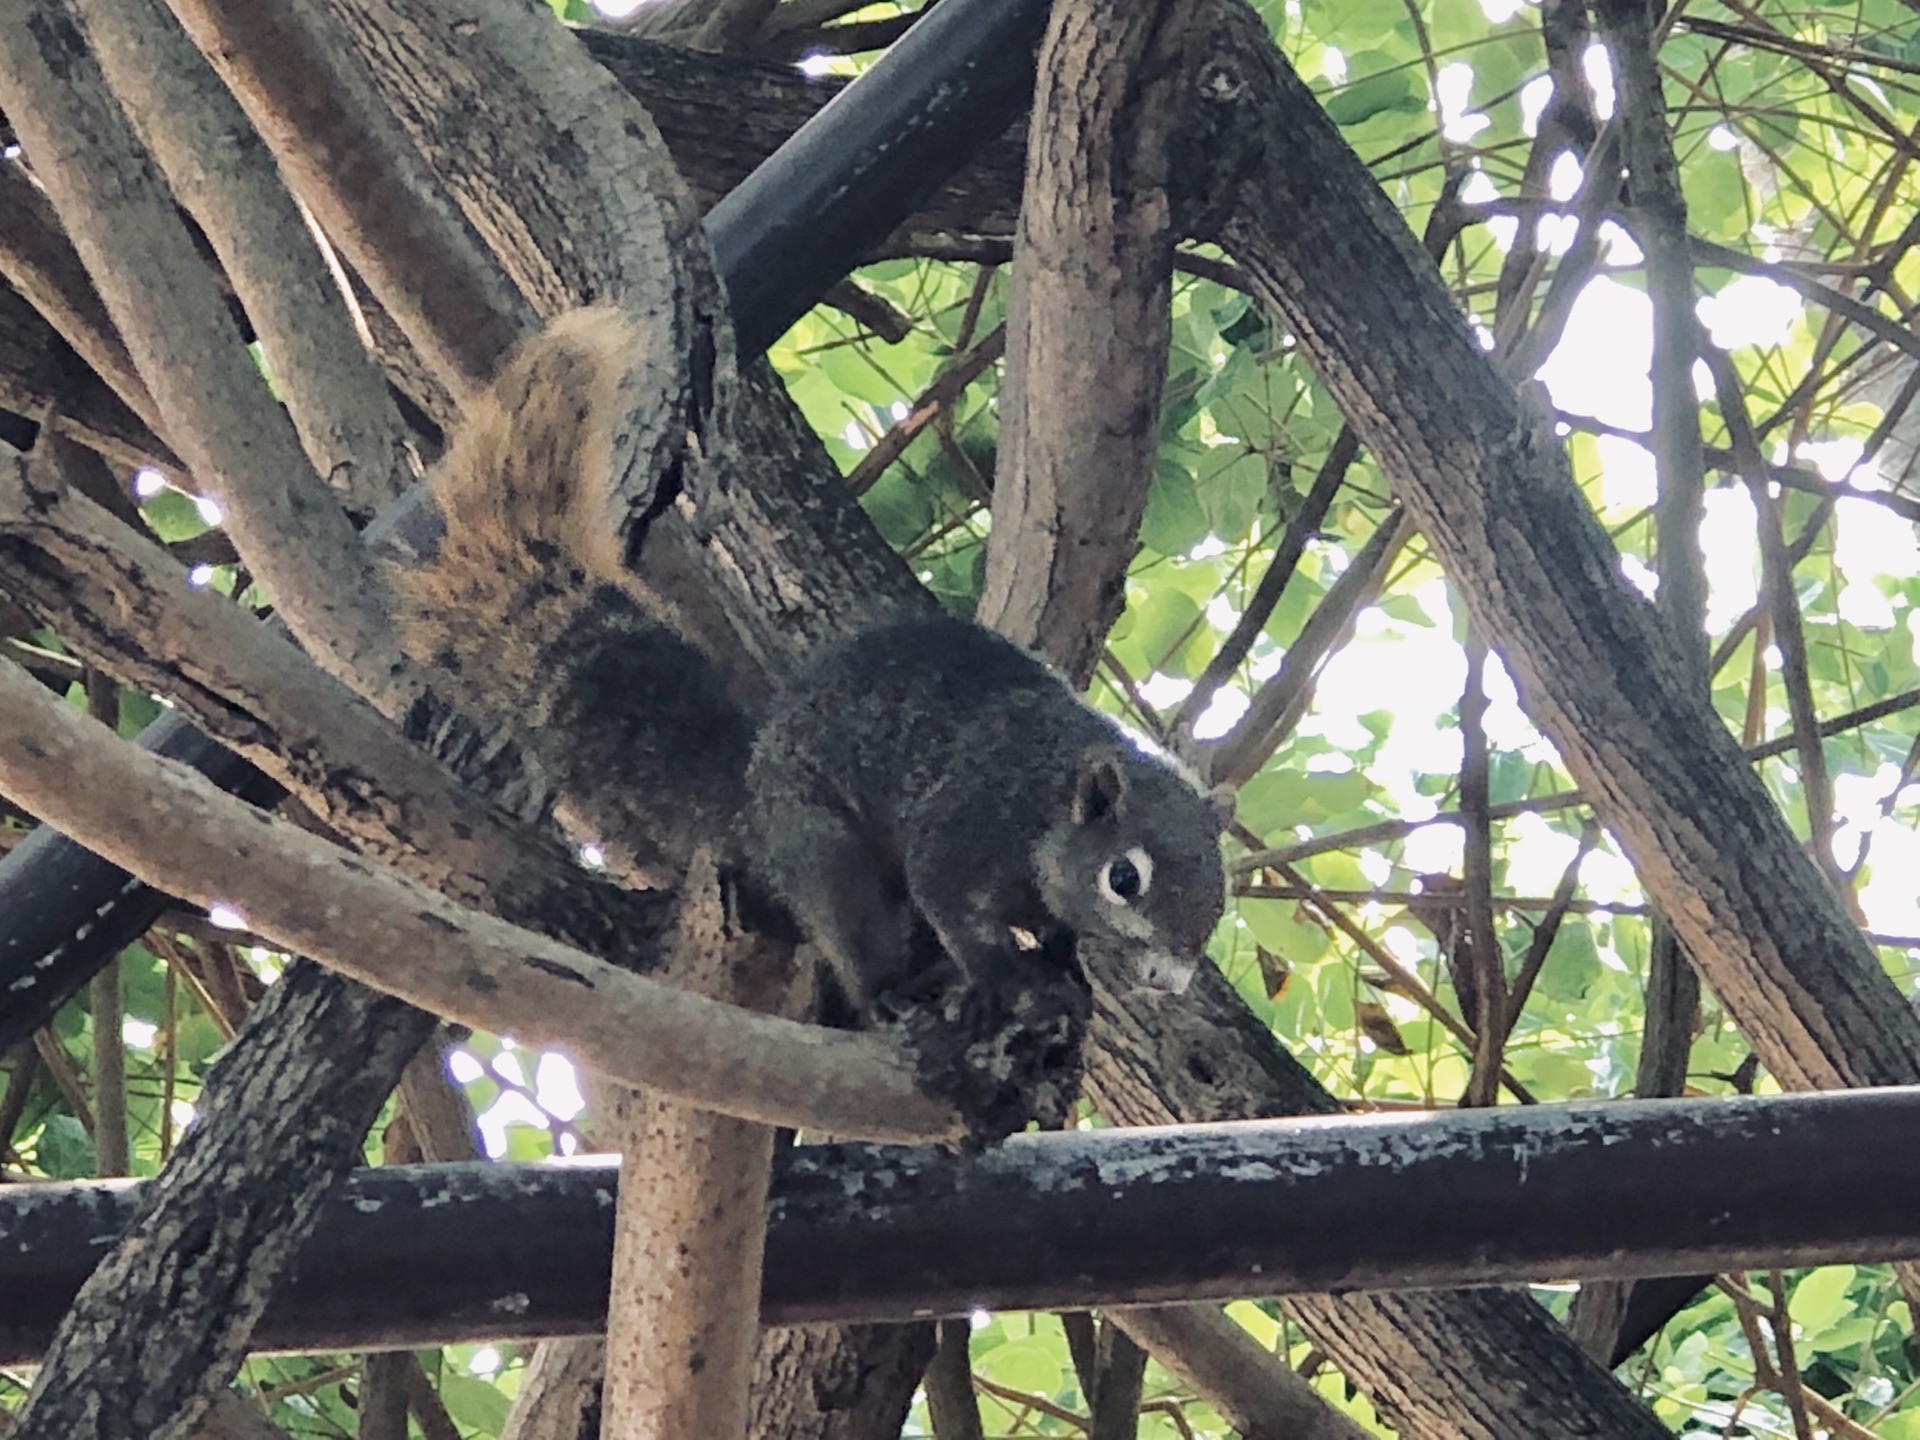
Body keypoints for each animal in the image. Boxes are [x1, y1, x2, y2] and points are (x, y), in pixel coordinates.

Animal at [391, 311, 1228, 1021]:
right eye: (1125, 878)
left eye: (1219, 895)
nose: (1169, 977)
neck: (1050, 796)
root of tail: (755, 791)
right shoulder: (966, 825)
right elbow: (955, 908)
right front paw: (1010, 978)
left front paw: (1064, 965)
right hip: (824, 849)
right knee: (850, 924)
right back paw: (891, 989)